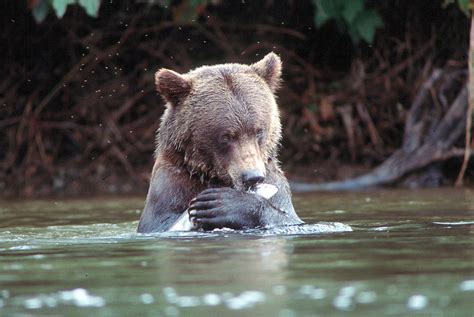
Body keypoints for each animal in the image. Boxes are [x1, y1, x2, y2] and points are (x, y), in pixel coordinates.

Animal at [137, 52, 302, 232]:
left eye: (259, 131)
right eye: (226, 136)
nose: (253, 177)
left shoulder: (275, 184)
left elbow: (287, 217)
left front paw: (222, 204)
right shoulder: (172, 183)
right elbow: (160, 222)